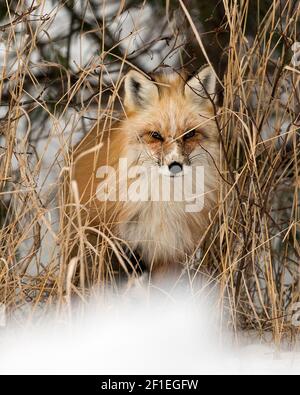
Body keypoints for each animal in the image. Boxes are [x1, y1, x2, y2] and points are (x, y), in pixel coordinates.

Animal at [70, 65, 220, 282]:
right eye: (155, 135)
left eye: (189, 134)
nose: (175, 166)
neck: (164, 200)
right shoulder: (114, 240)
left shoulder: (168, 251)